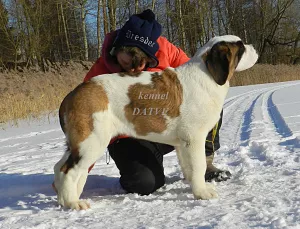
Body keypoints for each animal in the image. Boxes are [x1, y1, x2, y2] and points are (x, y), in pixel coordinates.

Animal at [52, 35, 258, 209]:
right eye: (241, 48)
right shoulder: (194, 138)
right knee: (68, 170)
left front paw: (193, 186)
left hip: (78, 143)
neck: (207, 74)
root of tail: (72, 93)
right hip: (92, 141)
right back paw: (73, 203)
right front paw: (202, 193)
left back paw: (64, 199)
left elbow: (189, 167)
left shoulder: (183, 143)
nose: (254, 47)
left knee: (60, 167)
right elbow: (198, 165)